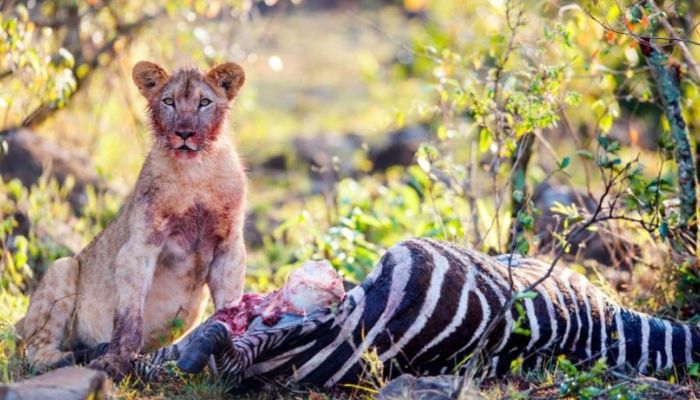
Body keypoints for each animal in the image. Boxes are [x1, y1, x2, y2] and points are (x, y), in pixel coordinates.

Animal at [15, 61, 248, 379]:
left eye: (204, 102)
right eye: (169, 101)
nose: (184, 133)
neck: (196, 173)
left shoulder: (229, 247)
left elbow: (229, 306)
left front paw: (229, 354)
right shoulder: (140, 246)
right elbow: (129, 316)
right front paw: (115, 361)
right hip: (62, 268)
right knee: (35, 352)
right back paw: (78, 355)